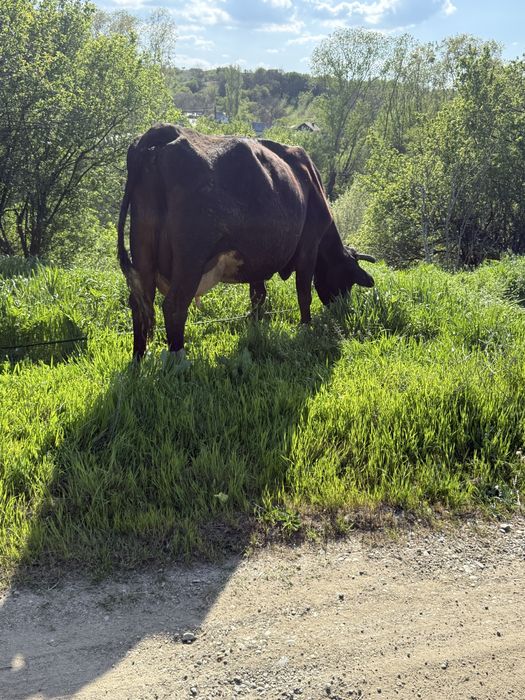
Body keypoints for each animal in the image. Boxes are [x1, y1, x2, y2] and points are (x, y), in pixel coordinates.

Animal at [117, 123, 376, 359]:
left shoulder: (259, 256)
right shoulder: (308, 246)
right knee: (174, 305)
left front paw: (255, 327)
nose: (341, 308)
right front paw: (305, 327)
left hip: (143, 250)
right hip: (190, 258)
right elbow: (303, 292)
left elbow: (258, 295)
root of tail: (165, 130)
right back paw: (178, 359)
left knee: (140, 303)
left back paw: (139, 358)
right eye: (348, 278)